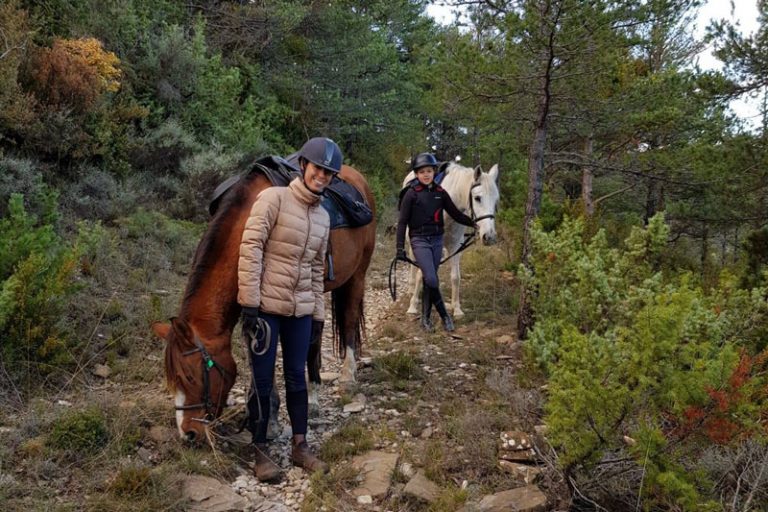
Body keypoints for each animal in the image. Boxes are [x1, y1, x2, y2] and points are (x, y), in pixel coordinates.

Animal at [151, 166, 376, 442]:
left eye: (191, 377)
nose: (188, 434)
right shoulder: (253, 309)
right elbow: (257, 357)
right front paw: (266, 415)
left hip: (356, 276)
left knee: (349, 321)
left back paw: (345, 378)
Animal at [402, 162, 504, 318]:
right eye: (477, 198)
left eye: (496, 200)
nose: (490, 237)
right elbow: (421, 273)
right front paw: (413, 306)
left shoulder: (455, 247)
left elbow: (456, 277)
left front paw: (457, 309)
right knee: (414, 263)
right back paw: (412, 290)